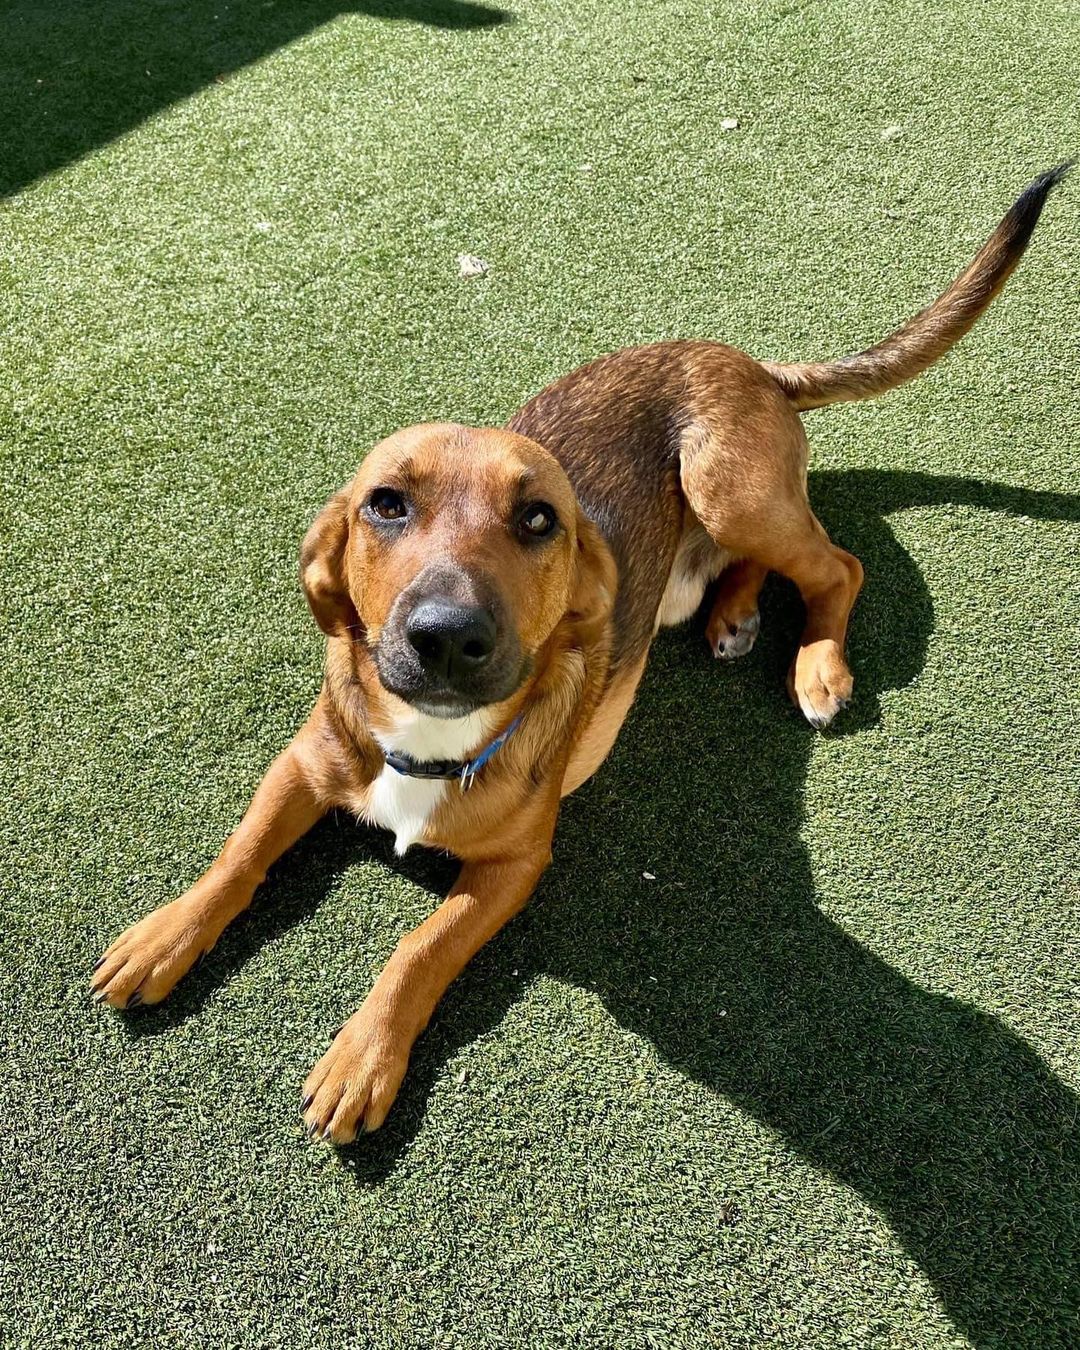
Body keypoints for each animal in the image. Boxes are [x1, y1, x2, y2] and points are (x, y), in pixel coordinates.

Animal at [90, 166, 1063, 1139]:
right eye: (385, 504)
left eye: (537, 520)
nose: (448, 636)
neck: (431, 740)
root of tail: (746, 361)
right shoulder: (301, 764)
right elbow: (238, 854)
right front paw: (164, 935)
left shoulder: (515, 866)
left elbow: (418, 949)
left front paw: (363, 1058)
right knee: (755, 563)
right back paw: (732, 615)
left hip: (727, 484)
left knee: (838, 563)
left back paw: (816, 666)